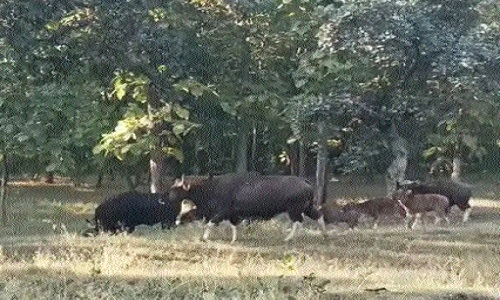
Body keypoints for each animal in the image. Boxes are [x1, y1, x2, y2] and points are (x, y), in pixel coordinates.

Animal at [166, 173, 326, 244]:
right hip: (307, 206)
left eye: (176, 188)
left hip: (295, 209)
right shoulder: (232, 214)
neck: (210, 188)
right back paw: (324, 234)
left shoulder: (221, 212)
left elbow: (211, 223)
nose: (168, 196)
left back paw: (288, 237)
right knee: (318, 215)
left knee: (298, 221)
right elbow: (233, 226)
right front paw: (233, 239)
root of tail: (305, 181)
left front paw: (204, 237)